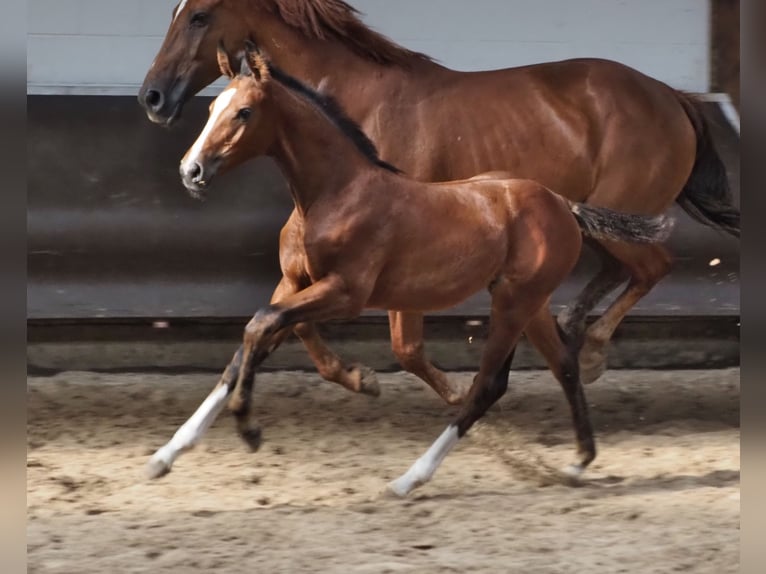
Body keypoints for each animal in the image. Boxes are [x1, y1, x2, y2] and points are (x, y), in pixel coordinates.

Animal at [135, 0, 740, 392]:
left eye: (198, 15)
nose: (153, 96)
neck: (357, 107)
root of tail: (673, 97)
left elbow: (402, 346)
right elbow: (290, 319)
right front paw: (358, 377)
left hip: (621, 215)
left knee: (652, 266)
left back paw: (589, 351)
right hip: (594, 221)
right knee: (621, 271)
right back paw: (571, 330)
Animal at [147, 46, 676, 496]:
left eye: (243, 112)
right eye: (212, 110)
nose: (191, 171)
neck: (334, 193)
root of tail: (563, 203)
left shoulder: (347, 293)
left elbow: (261, 325)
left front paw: (251, 428)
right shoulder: (293, 282)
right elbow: (247, 347)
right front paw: (166, 453)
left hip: (514, 301)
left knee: (488, 385)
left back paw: (409, 479)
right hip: (532, 301)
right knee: (562, 364)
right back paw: (579, 462)